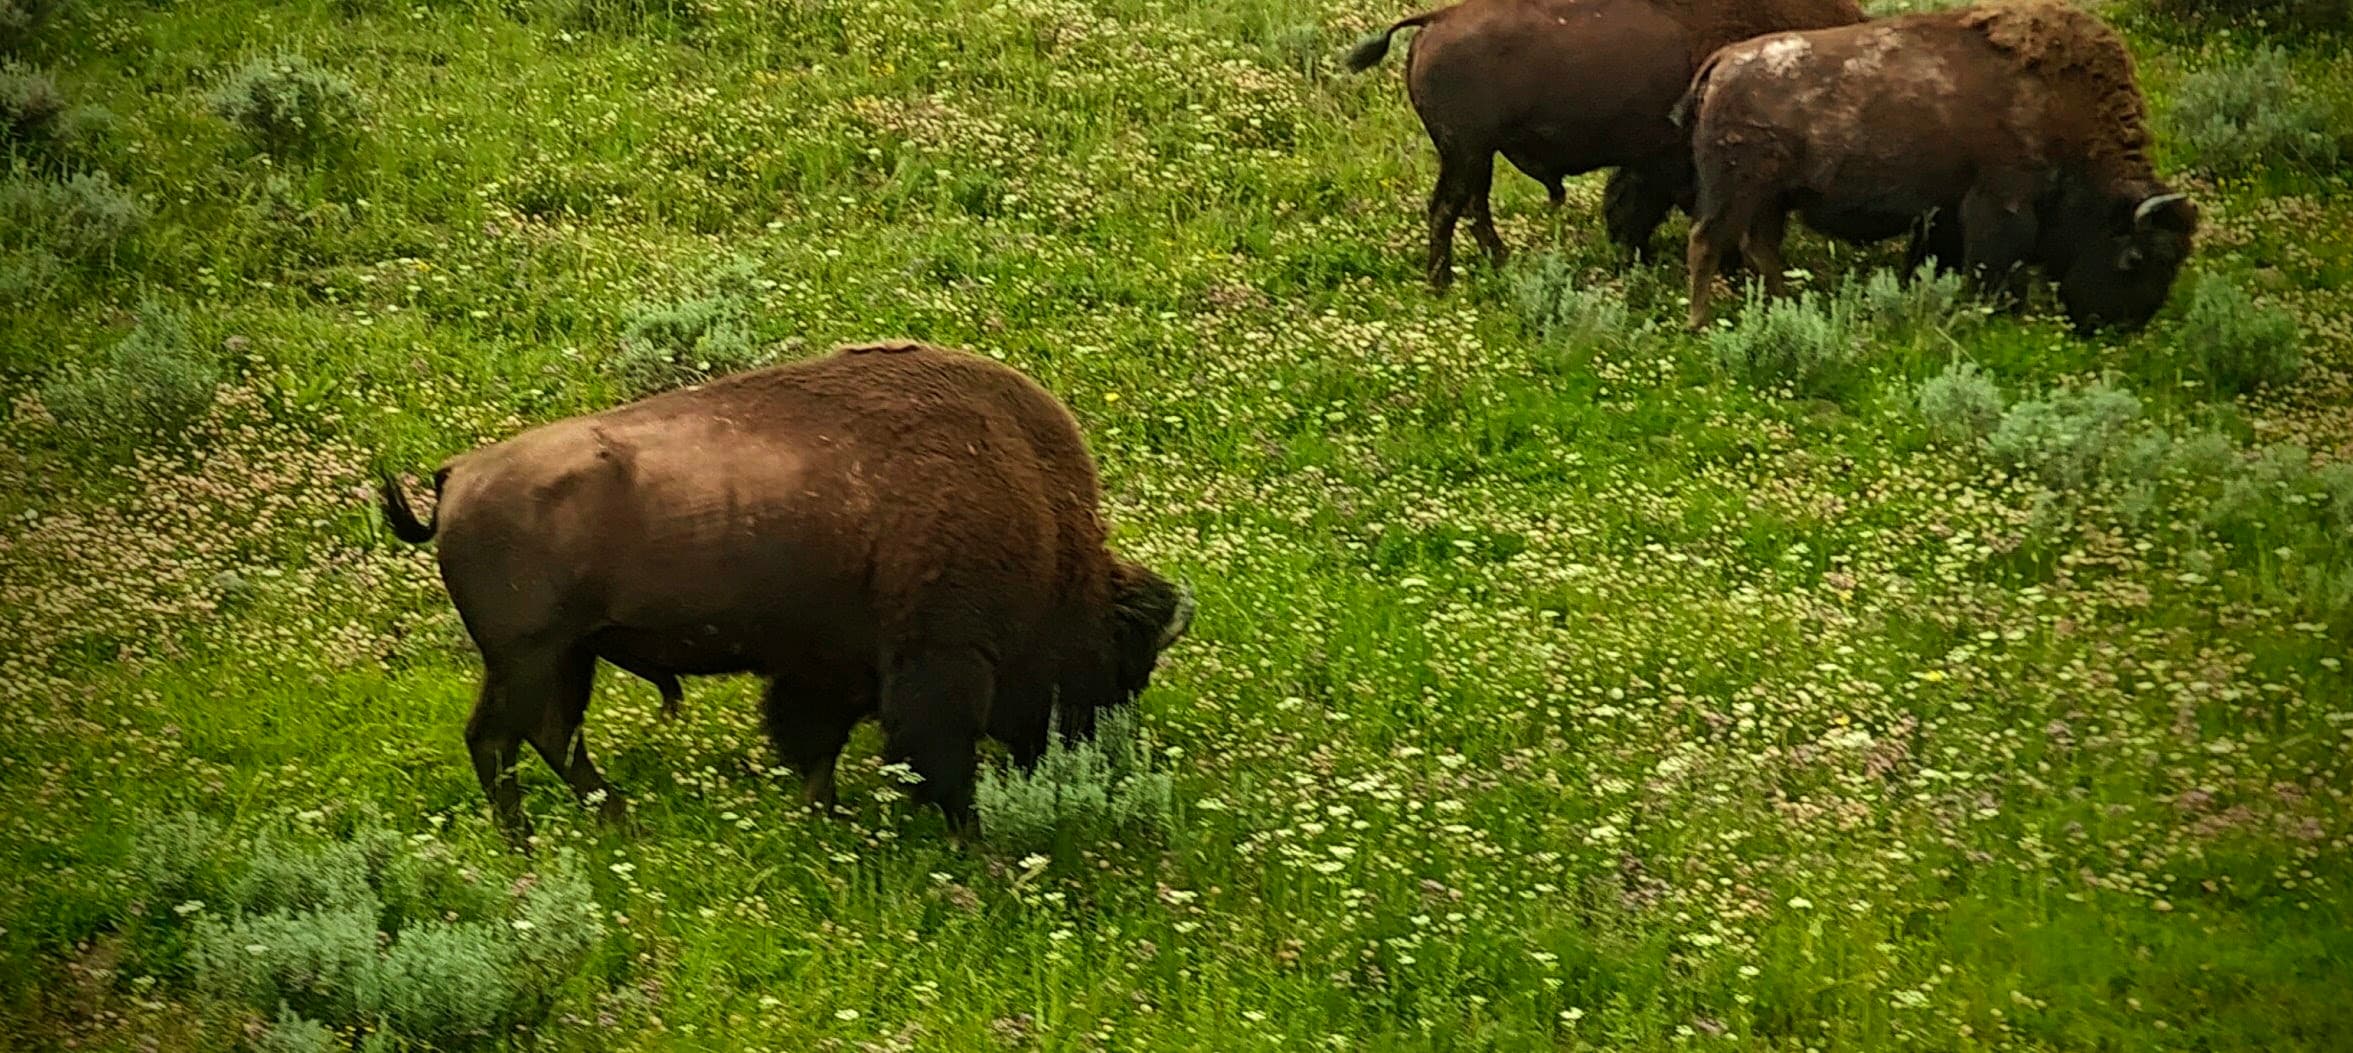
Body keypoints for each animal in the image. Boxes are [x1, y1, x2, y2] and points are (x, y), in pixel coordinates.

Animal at [380, 342, 1195, 840]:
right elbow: (934, 761)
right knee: (498, 740)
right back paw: (526, 841)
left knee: (551, 734)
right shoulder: (937, 665)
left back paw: (616, 818)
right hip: (527, 656)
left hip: (567, 656)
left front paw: (823, 817)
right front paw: (967, 837)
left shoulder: (829, 672)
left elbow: (816, 748)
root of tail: (458, 474)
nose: (1083, 759)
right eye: (1121, 668)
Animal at [1347, 0, 1867, 288]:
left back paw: (1497, 262)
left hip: (1475, 155)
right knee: (1447, 209)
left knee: (1473, 206)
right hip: (1465, 151)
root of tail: (1438, 19)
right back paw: (1442, 283)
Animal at [1679, 0, 2197, 331]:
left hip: (1771, 200)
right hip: (1737, 192)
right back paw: (1698, 323)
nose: (2122, 326)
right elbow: (1991, 265)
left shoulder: (1946, 212)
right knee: (1707, 242)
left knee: (1759, 248)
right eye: (2135, 258)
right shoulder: (2002, 203)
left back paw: (1784, 304)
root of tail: (1723, 60)